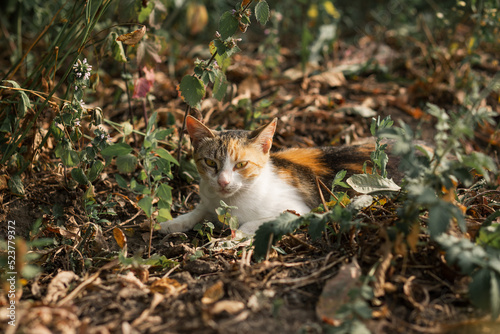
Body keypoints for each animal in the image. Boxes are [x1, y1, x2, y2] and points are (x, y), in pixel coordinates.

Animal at [159, 116, 398, 236]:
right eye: (210, 163)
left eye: (241, 164)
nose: (223, 182)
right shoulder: (208, 200)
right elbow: (197, 211)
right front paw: (172, 223)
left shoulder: (301, 210)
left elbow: (252, 224)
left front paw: (233, 238)